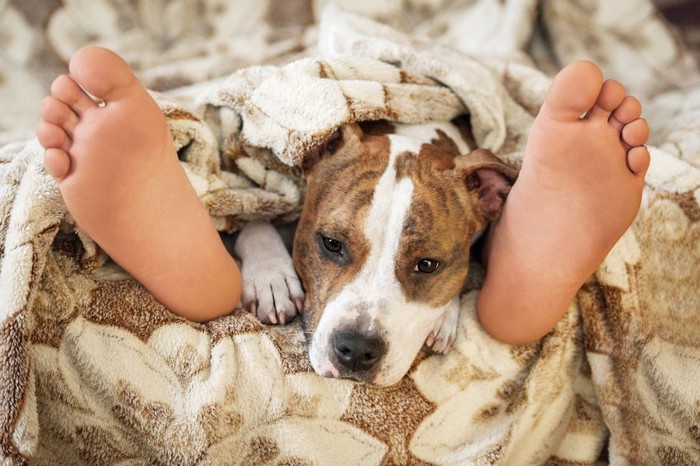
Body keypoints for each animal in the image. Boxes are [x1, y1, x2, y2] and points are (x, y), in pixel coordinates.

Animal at [234, 117, 516, 386]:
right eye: (332, 243)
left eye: (427, 265)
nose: (357, 349)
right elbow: (253, 216)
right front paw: (270, 276)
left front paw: (444, 316)